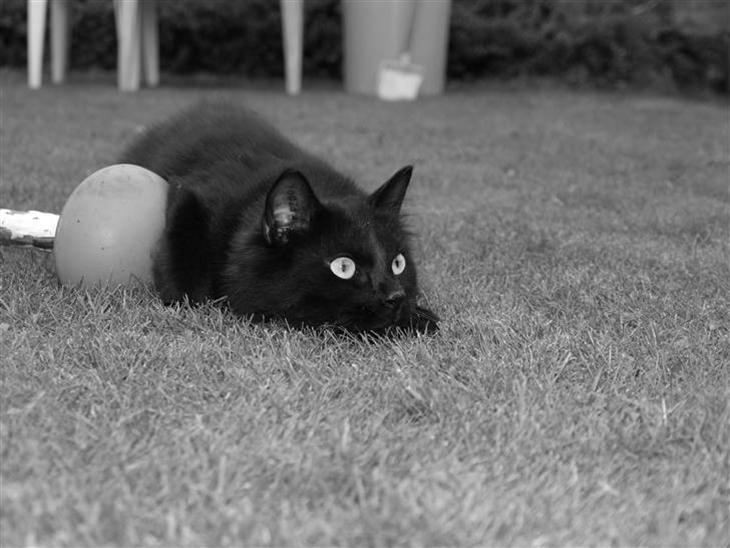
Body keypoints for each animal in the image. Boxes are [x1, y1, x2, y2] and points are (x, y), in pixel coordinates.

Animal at [120, 102, 438, 334]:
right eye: (344, 267)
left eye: (398, 264)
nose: (395, 297)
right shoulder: (187, 195)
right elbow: (185, 283)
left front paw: (420, 316)